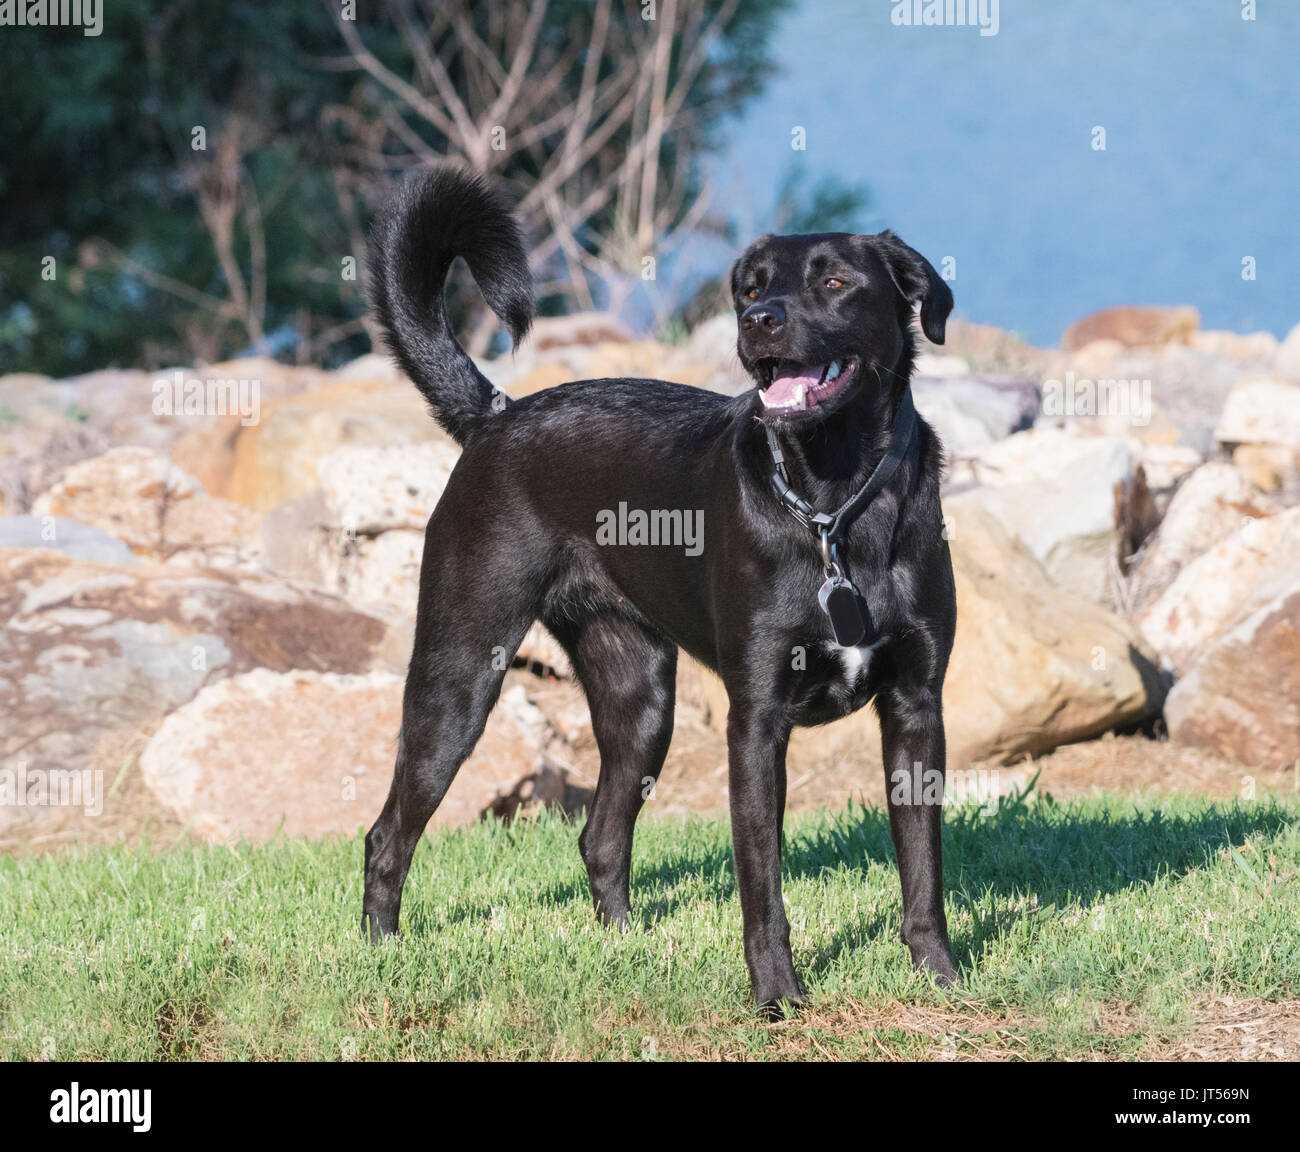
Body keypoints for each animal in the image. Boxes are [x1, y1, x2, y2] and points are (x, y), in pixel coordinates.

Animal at [361, 162, 961, 1008]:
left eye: (837, 281)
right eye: (752, 288)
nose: (760, 322)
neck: (835, 504)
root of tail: (495, 417)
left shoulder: (916, 708)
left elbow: (923, 869)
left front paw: (940, 976)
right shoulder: (757, 723)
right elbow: (762, 885)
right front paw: (778, 997)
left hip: (640, 699)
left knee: (599, 836)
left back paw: (625, 946)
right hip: (458, 678)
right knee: (388, 834)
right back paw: (382, 953)